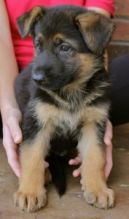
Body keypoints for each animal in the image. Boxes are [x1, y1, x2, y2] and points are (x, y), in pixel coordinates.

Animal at [14, 5, 114, 212]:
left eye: (65, 48)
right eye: (38, 45)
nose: (36, 79)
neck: (71, 91)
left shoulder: (94, 123)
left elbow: (96, 156)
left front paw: (98, 188)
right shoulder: (36, 122)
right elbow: (32, 157)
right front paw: (29, 192)